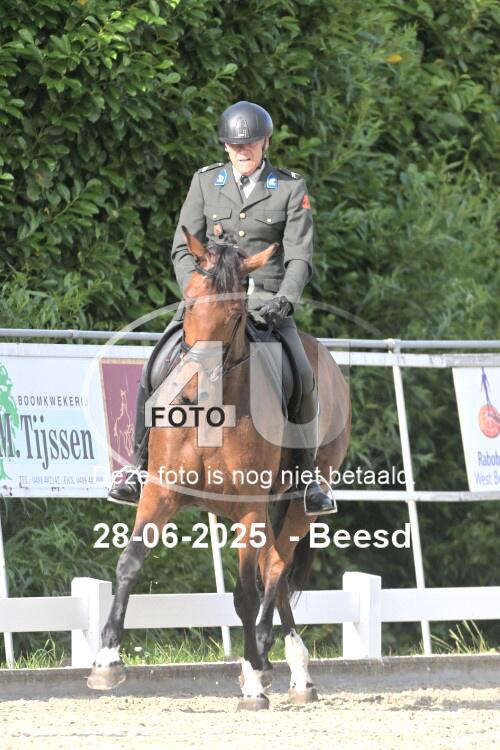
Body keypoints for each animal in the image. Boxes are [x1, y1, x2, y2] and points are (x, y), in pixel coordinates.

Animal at [87, 230, 351, 710]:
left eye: (234, 315)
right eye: (190, 303)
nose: (187, 395)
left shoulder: (248, 508)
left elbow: (245, 594)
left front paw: (253, 680)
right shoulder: (160, 492)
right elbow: (129, 563)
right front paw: (106, 661)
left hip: (297, 501)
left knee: (275, 567)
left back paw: (276, 663)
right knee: (274, 568)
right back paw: (284, 666)